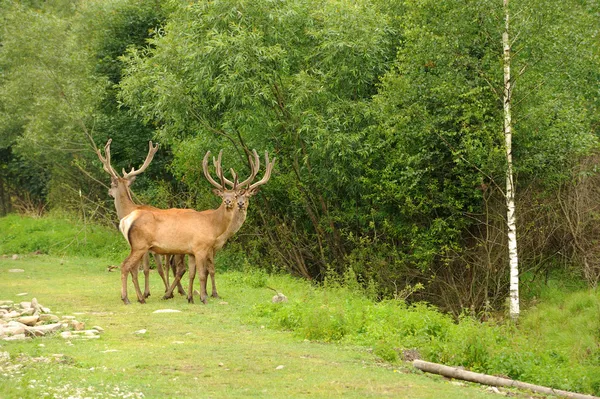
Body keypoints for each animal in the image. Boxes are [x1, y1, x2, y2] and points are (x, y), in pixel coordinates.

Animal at [96, 139, 186, 298]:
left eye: (111, 184)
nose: (108, 192)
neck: (129, 210)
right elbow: (156, 269)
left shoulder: (144, 246)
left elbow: (145, 269)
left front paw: (145, 293)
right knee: (177, 266)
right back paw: (179, 291)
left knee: (179, 267)